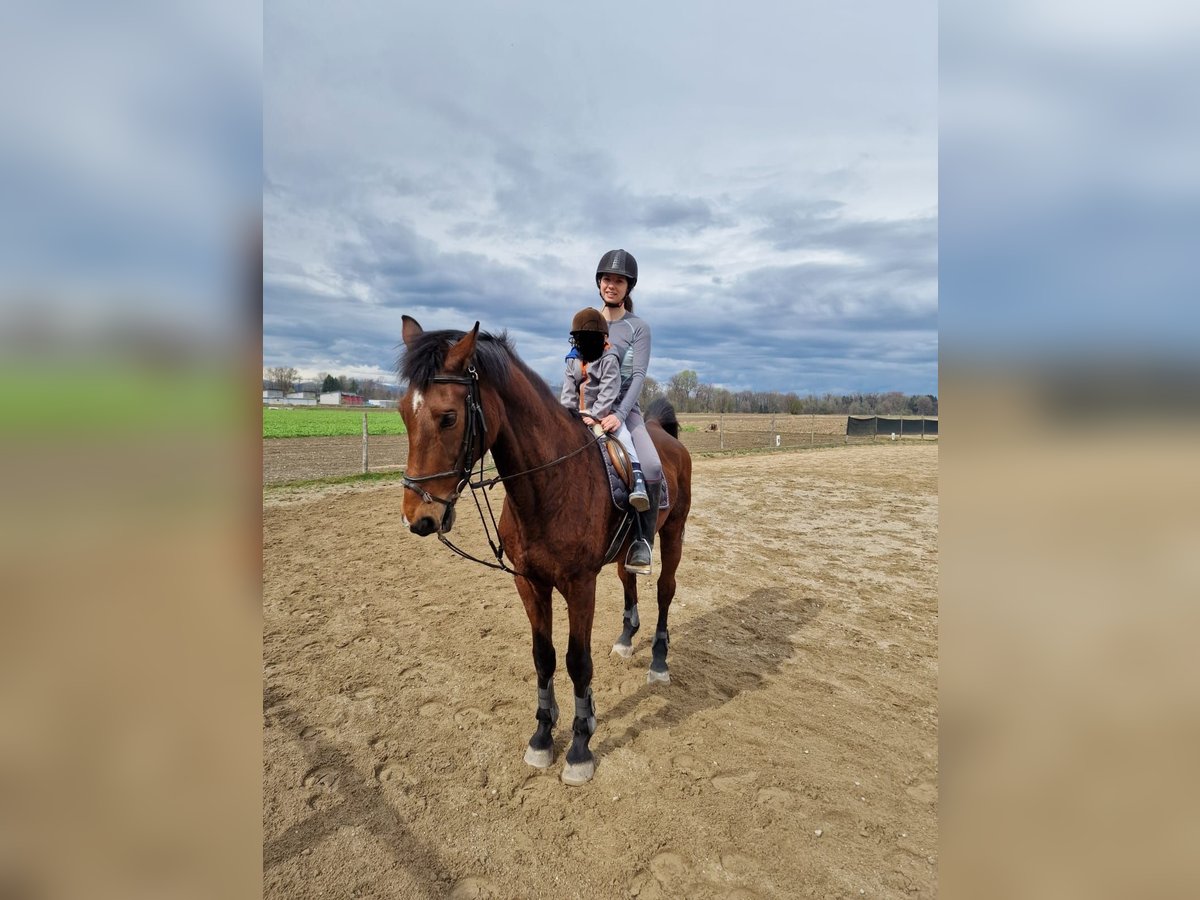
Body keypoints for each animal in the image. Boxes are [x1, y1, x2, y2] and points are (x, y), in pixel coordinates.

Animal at [398, 319, 691, 787]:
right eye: (403, 413)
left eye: (449, 417)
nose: (418, 517)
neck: (549, 482)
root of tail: (665, 434)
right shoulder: (530, 582)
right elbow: (544, 657)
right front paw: (542, 735)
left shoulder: (579, 585)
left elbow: (577, 662)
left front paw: (579, 746)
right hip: (625, 552)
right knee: (629, 581)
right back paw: (626, 640)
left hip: (674, 533)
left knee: (665, 590)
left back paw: (659, 663)